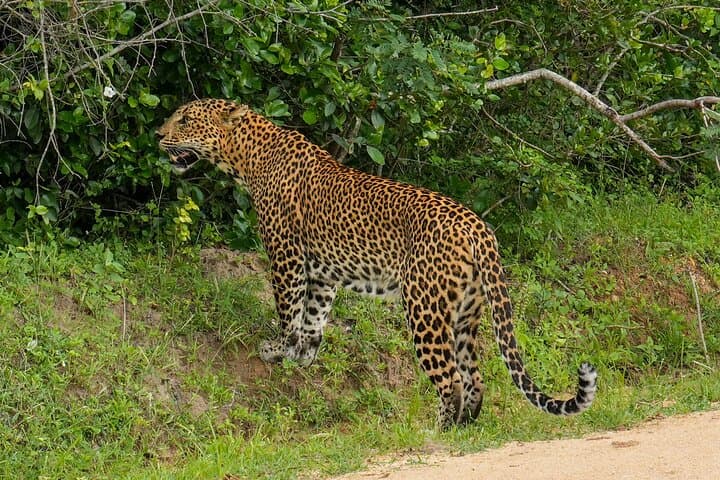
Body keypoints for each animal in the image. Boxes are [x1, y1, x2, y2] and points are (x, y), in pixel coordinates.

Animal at [157, 98, 597, 427]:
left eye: (185, 119)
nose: (159, 135)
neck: (247, 157)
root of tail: (477, 226)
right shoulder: (324, 273)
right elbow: (313, 320)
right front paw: (301, 359)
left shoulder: (286, 255)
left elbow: (288, 310)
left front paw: (276, 350)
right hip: (466, 314)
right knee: (475, 375)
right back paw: (465, 429)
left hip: (424, 308)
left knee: (451, 379)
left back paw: (437, 431)